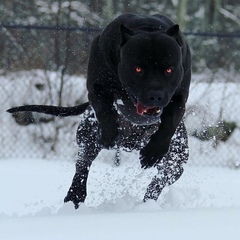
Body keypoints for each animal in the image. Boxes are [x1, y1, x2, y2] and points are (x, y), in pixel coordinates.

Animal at [7, 13, 191, 208]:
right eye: (138, 69)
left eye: (169, 69)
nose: (155, 95)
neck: (147, 28)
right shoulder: (96, 88)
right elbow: (104, 112)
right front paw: (109, 135)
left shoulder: (179, 97)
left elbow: (169, 123)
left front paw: (154, 150)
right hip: (87, 138)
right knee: (82, 166)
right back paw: (75, 196)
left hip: (176, 162)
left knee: (158, 182)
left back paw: (147, 203)